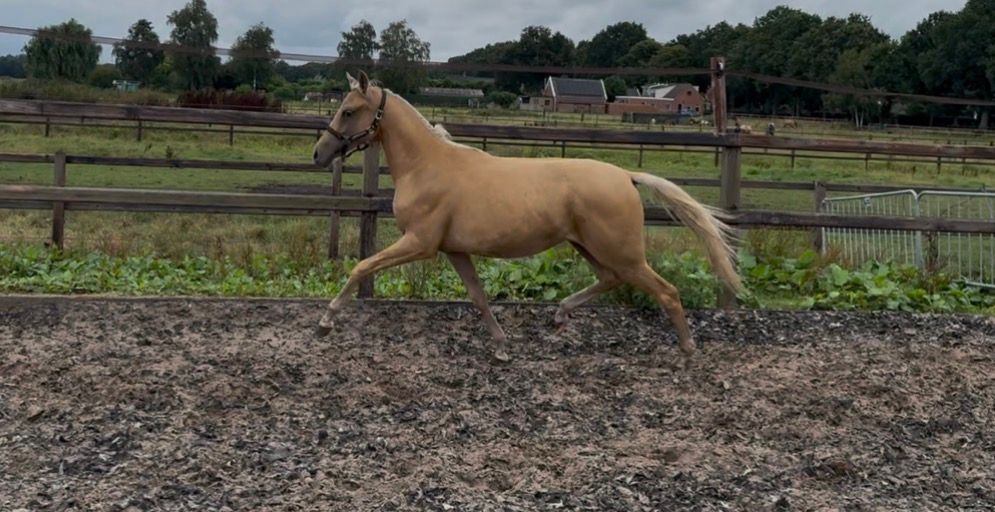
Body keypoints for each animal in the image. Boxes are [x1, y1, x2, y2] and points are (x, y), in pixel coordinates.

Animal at [312, 71, 741, 363]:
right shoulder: (454, 250)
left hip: (622, 253)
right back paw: (561, 314)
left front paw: (326, 321)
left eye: (348, 111)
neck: (427, 166)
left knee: (666, 292)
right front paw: (501, 346)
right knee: (610, 279)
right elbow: (478, 296)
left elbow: (362, 266)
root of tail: (626, 175)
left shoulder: (420, 243)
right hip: (589, 246)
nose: (319, 154)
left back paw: (688, 349)